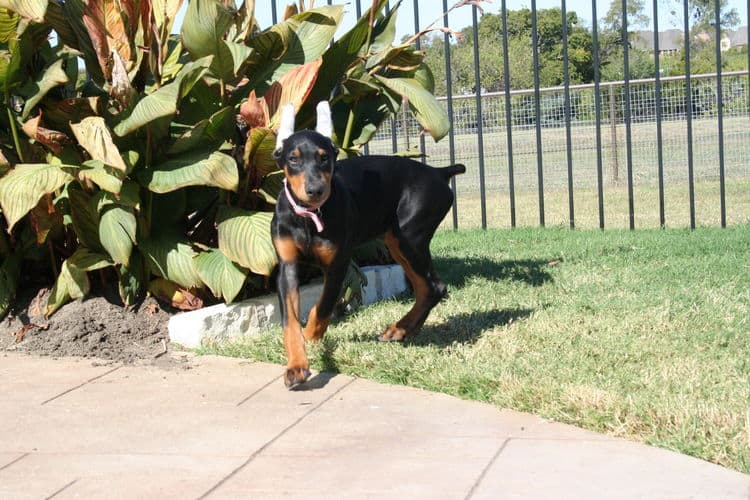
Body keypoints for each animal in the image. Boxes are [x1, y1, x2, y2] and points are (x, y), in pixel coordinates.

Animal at [274, 101, 468, 388]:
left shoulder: (338, 264)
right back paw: (402, 330)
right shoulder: (287, 266)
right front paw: (296, 365)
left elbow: (322, 307)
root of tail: (438, 172)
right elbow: (290, 321)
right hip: (397, 242)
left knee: (434, 287)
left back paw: (401, 328)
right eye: (293, 159)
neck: (308, 217)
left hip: (409, 237)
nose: (315, 190)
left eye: (324, 157)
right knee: (426, 287)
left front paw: (311, 337)